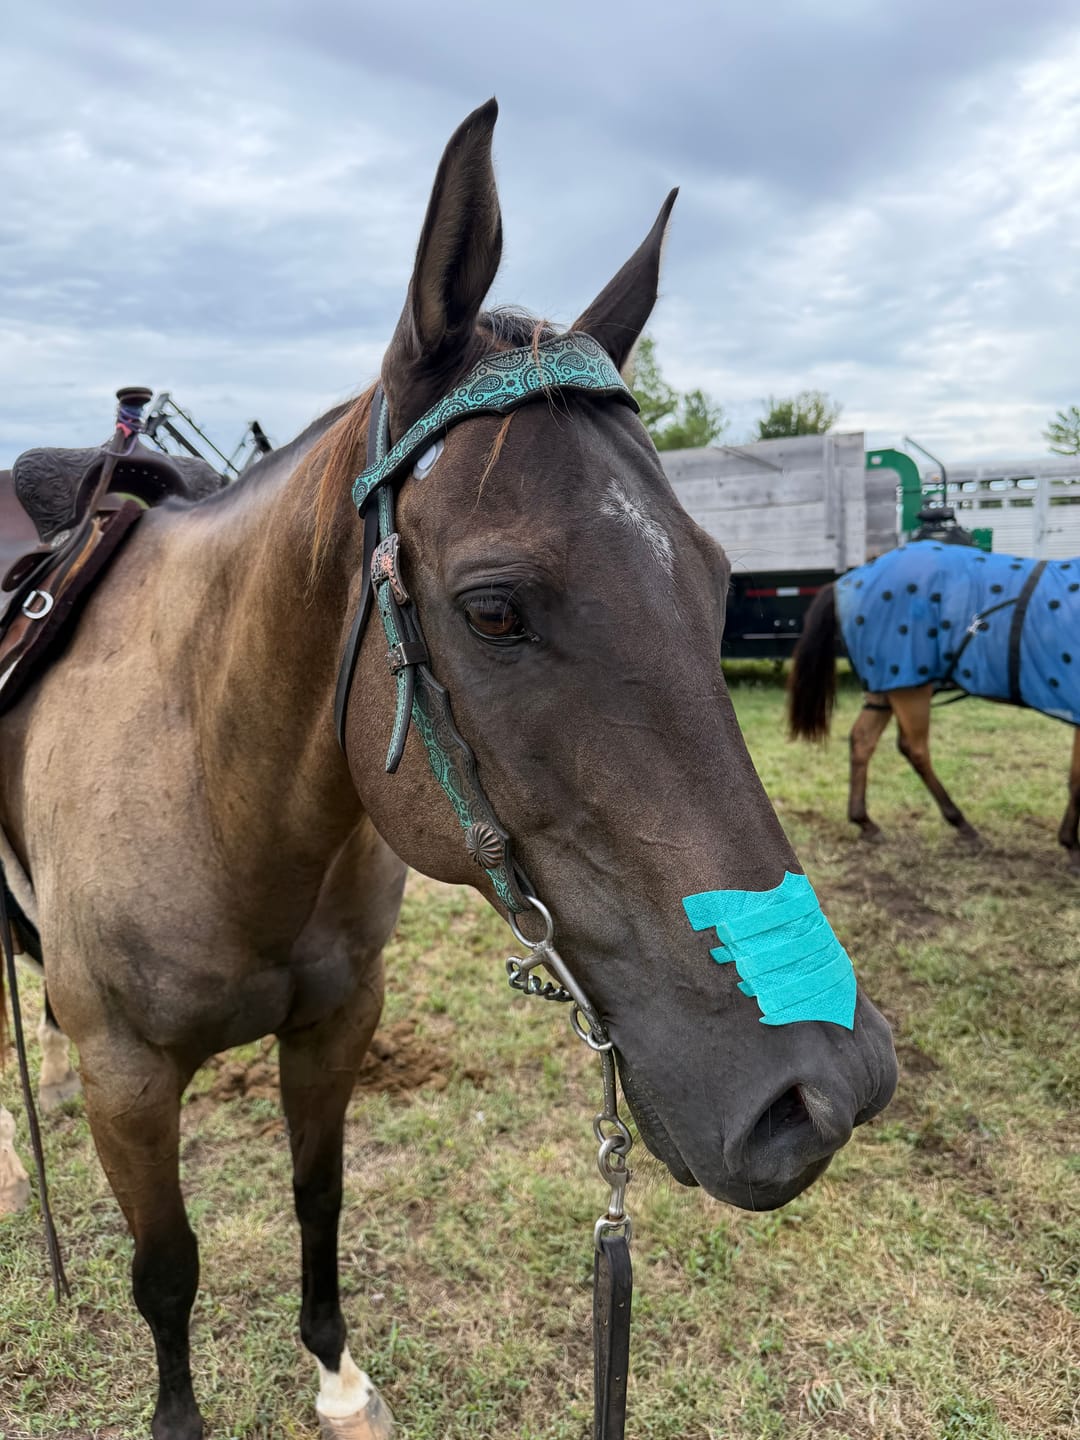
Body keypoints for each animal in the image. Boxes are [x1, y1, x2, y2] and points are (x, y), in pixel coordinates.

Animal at [0, 101, 897, 1440]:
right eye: (493, 610)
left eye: (714, 573)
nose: (828, 1091)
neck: (222, 796)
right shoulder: (132, 1081)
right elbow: (166, 1272)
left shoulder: (337, 1023)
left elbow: (319, 1198)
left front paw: (339, 1380)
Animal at [787, 539, 1080, 871]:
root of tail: (848, 580)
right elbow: (1078, 781)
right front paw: (1071, 844)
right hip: (908, 687)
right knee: (914, 748)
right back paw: (961, 823)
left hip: (884, 688)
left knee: (863, 740)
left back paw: (865, 822)